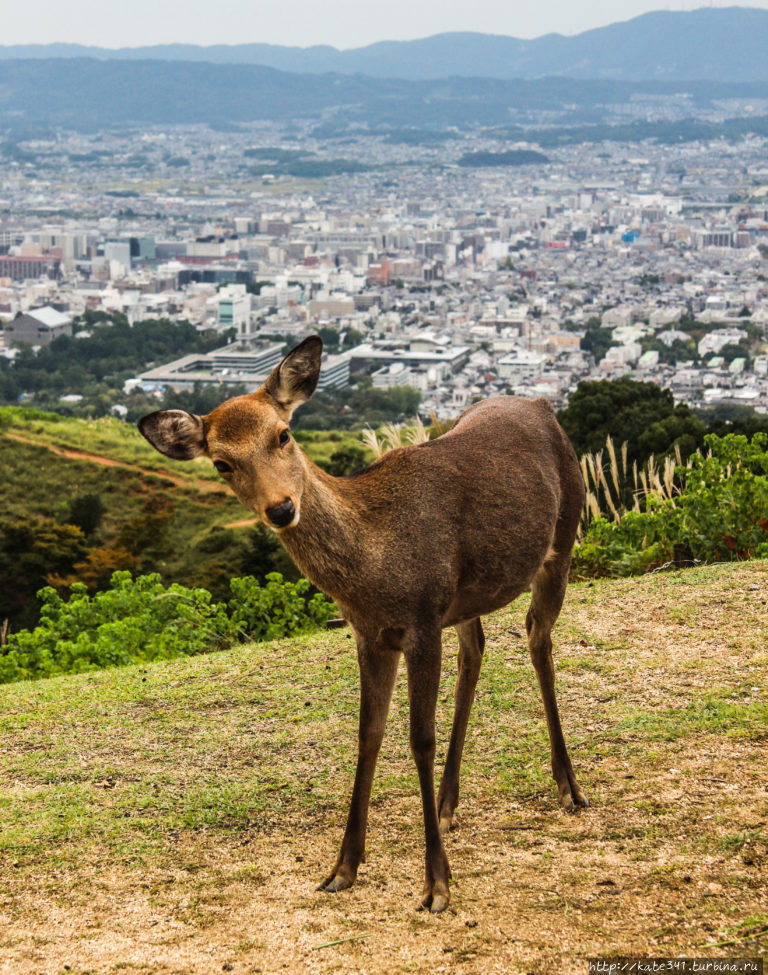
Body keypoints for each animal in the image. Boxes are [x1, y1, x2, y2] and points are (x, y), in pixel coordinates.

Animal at [140, 338, 588, 916]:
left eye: (282, 434)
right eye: (221, 463)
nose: (281, 508)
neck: (374, 568)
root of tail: (540, 403)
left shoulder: (421, 620)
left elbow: (419, 738)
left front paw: (437, 884)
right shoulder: (371, 634)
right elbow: (367, 734)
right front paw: (342, 868)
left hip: (564, 537)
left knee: (537, 638)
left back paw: (569, 787)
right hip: (466, 598)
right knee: (477, 649)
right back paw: (448, 803)